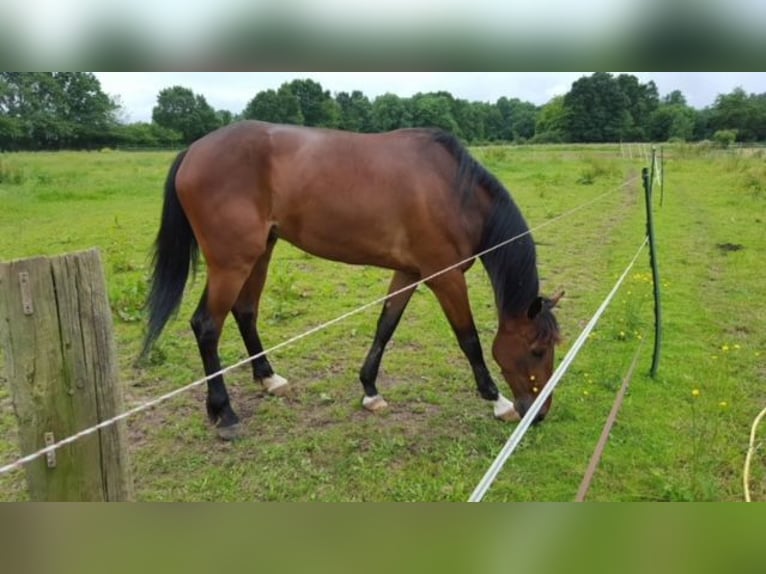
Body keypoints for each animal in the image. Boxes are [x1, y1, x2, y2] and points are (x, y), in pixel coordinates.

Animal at [142, 119, 564, 438]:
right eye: (537, 350)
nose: (540, 414)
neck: (454, 191)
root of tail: (194, 151)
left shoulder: (410, 271)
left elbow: (385, 326)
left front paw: (370, 390)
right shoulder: (444, 277)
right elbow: (470, 340)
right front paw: (498, 402)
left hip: (260, 252)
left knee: (245, 312)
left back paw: (269, 379)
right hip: (231, 263)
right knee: (206, 326)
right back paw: (224, 412)